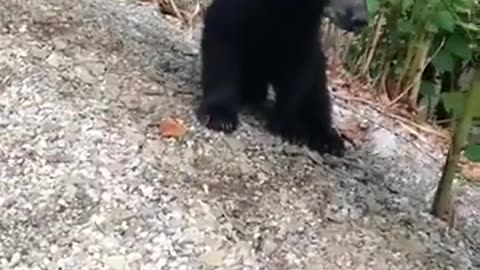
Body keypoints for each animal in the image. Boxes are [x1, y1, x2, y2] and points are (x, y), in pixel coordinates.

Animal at [195, 0, 368, 156]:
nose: (361, 20)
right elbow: (222, 43)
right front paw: (219, 115)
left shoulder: (304, 32)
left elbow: (299, 76)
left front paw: (290, 127)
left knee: (318, 94)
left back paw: (329, 140)